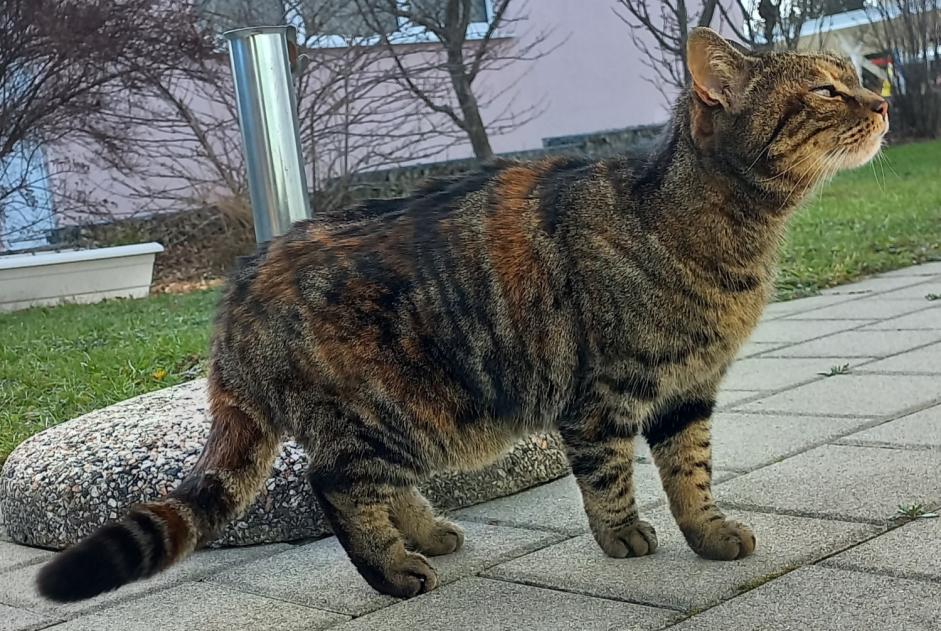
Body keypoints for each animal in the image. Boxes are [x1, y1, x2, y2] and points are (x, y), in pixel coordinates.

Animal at [38, 29, 888, 604]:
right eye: (824, 91)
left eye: (852, 79)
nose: (881, 101)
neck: (722, 231)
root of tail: (234, 288)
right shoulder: (600, 399)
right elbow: (610, 477)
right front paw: (621, 538)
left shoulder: (687, 391)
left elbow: (691, 472)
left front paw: (707, 532)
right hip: (399, 413)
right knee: (333, 481)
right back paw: (392, 569)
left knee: (362, 481)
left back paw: (422, 532)